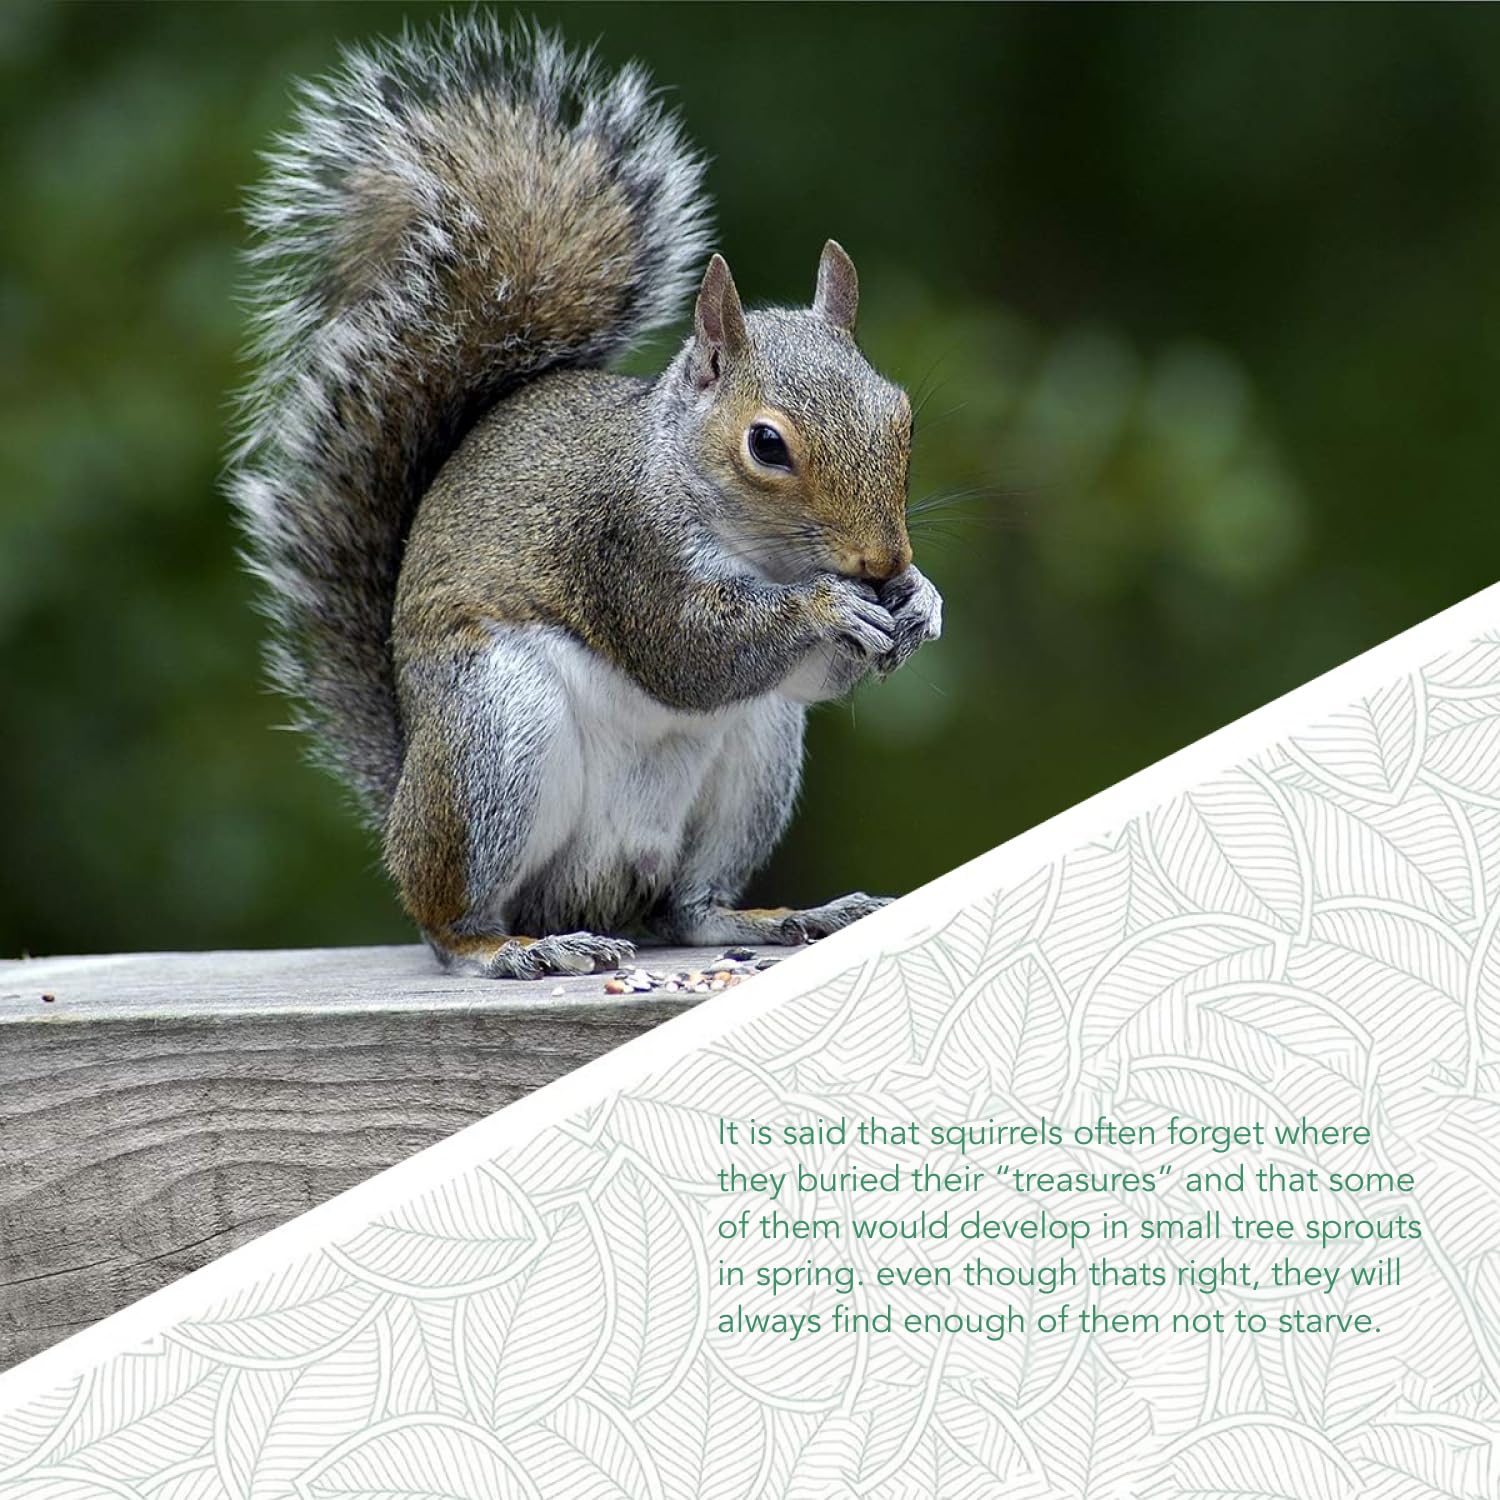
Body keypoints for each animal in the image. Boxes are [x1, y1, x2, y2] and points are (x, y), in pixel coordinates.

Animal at [230, 17, 943, 979]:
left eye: (901, 413)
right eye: (766, 444)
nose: (885, 560)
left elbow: (806, 676)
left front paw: (920, 602)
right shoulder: (622, 546)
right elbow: (688, 652)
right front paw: (830, 606)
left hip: (755, 757)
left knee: (685, 907)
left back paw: (768, 918)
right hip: (494, 737)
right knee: (450, 918)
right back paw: (509, 950)